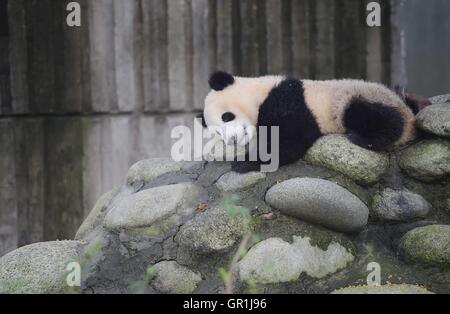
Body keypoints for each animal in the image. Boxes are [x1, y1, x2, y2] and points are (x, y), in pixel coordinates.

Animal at [197, 70, 428, 174]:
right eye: (217, 133)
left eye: (227, 116)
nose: (233, 140)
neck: (259, 92)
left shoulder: (290, 101)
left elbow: (287, 141)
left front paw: (244, 162)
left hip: (356, 98)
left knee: (373, 116)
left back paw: (363, 137)